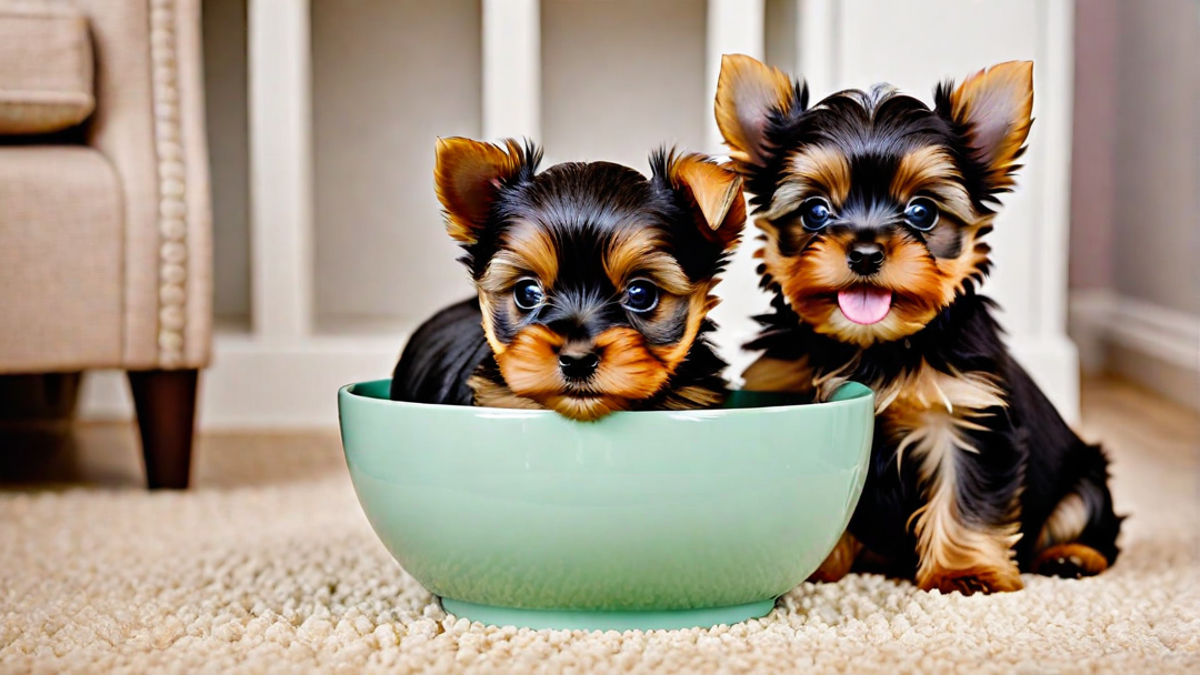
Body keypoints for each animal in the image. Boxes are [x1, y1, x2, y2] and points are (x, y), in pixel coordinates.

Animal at [705, 55, 1118, 590]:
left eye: (922, 212)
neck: (872, 344)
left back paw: (1072, 556)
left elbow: (967, 497)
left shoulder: (969, 415)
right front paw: (816, 564)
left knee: (1090, 521)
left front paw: (966, 573)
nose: (864, 252)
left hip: (1086, 475)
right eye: (815, 211)